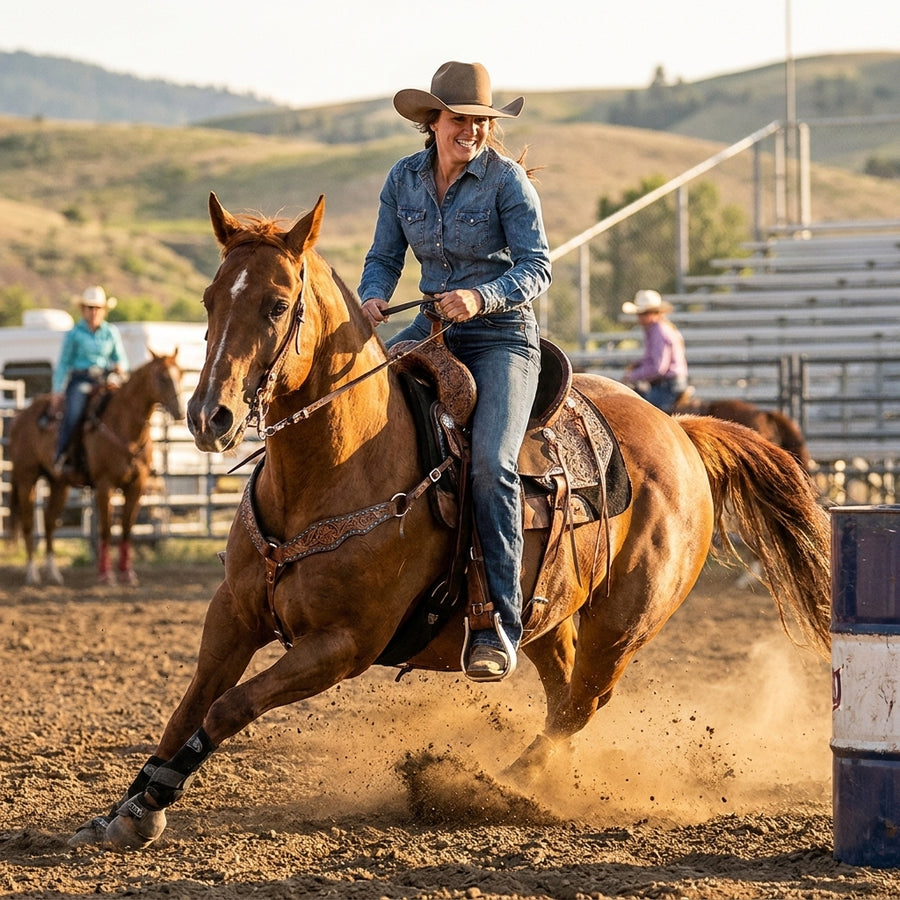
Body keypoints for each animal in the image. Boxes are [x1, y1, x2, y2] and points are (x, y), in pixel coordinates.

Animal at [7, 351, 184, 586]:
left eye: (181, 373)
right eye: (162, 377)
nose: (181, 412)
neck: (124, 427)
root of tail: (20, 416)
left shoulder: (137, 485)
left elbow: (126, 528)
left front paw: (127, 573)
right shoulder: (104, 485)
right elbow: (106, 529)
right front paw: (105, 574)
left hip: (58, 483)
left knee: (49, 522)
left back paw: (53, 572)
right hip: (27, 477)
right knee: (28, 522)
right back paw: (32, 573)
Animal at [71, 194, 831, 850]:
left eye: (278, 304)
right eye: (209, 298)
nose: (209, 416)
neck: (338, 467)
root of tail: (681, 430)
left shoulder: (343, 645)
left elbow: (227, 708)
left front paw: (153, 802)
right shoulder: (232, 613)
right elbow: (190, 704)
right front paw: (128, 805)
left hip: (625, 625)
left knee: (581, 705)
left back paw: (500, 786)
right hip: (546, 616)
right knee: (562, 697)